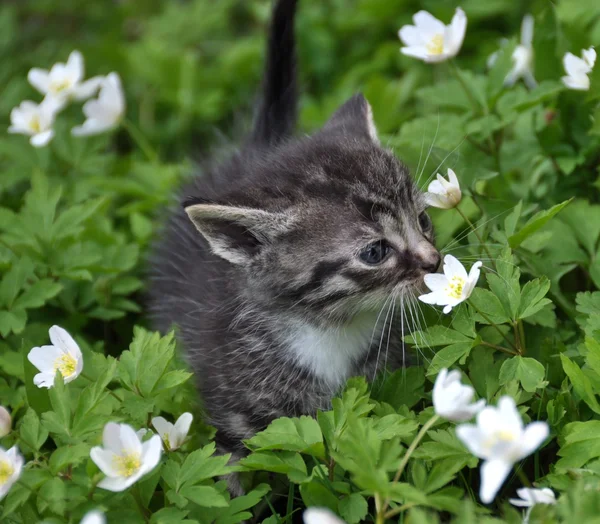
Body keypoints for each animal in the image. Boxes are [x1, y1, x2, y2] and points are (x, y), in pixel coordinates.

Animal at [149, 0, 438, 490]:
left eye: (423, 220)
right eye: (375, 252)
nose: (435, 261)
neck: (330, 332)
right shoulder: (234, 414)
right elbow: (230, 482)